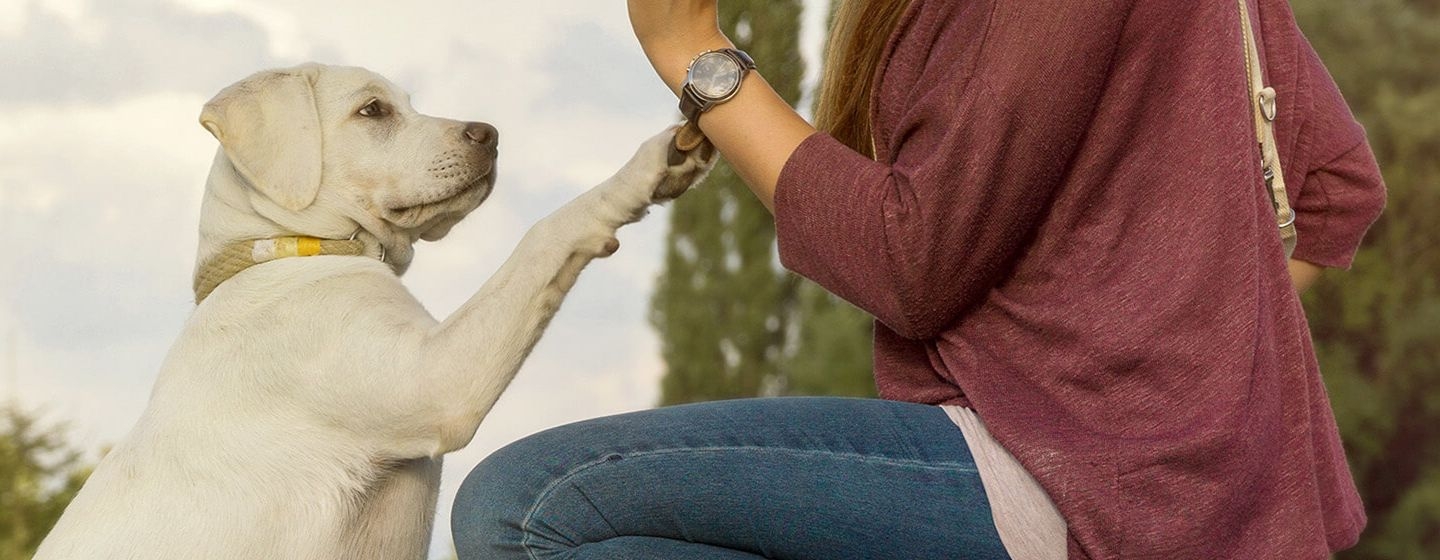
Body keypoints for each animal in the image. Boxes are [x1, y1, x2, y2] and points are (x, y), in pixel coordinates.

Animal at [39, 63, 720, 555]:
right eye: (373, 111)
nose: (491, 135)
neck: (290, 252)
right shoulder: (436, 382)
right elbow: (545, 234)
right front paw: (642, 171)